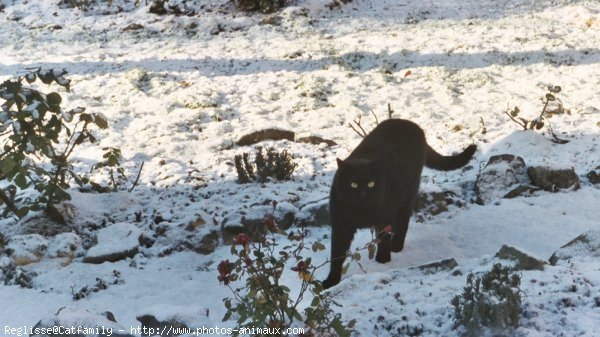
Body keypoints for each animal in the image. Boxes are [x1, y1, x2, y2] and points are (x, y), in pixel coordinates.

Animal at [324, 117, 478, 286]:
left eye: (371, 183)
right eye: (353, 184)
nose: (363, 194)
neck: (362, 211)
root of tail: (411, 124)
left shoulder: (384, 217)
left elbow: (384, 238)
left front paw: (383, 261)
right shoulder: (341, 226)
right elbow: (336, 255)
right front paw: (331, 281)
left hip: (407, 195)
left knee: (403, 222)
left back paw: (396, 246)